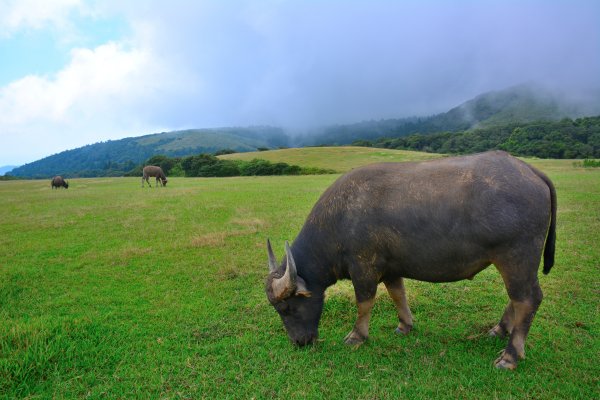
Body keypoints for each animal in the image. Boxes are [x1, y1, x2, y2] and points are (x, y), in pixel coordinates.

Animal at [264, 152, 556, 370]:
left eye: (287, 308)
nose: (299, 342)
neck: (341, 219)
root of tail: (529, 170)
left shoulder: (364, 269)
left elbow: (364, 303)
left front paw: (357, 335)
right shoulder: (391, 269)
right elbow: (398, 295)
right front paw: (405, 325)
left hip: (516, 257)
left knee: (527, 299)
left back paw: (510, 355)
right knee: (517, 298)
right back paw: (500, 329)